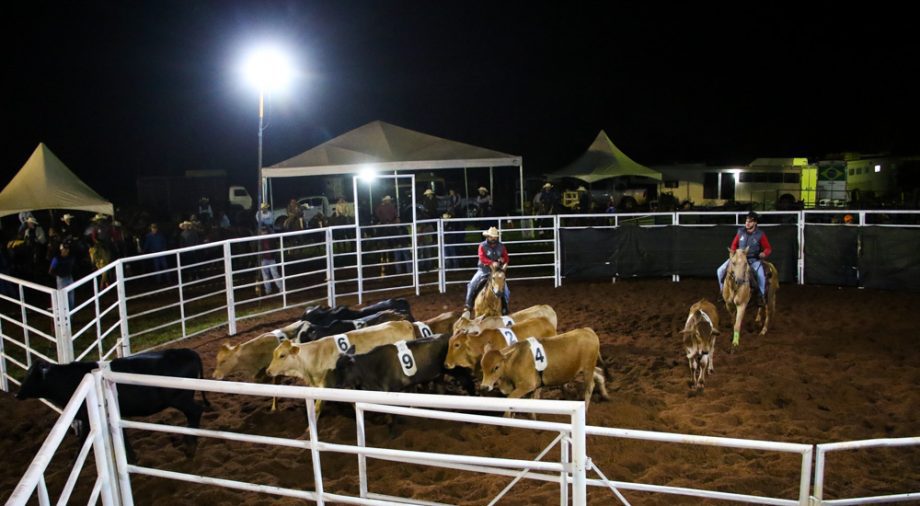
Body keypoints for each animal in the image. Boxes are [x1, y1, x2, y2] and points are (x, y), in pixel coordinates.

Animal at [262, 320, 414, 416]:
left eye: (282, 355)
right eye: (274, 354)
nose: (268, 371)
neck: (314, 356)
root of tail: (404, 323)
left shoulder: (330, 385)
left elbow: (317, 408)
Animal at [478, 326, 608, 418]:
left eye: (496, 367)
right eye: (482, 367)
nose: (484, 387)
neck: (514, 359)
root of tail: (588, 331)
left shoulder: (527, 385)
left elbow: (510, 399)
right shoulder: (534, 386)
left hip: (587, 369)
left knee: (590, 386)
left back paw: (585, 410)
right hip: (585, 369)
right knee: (599, 373)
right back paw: (606, 395)